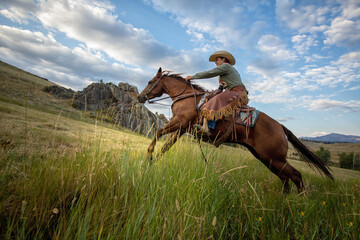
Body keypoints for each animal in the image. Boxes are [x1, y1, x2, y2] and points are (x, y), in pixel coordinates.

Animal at [137, 67, 332, 193]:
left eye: (150, 81)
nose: (140, 97)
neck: (188, 97)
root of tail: (280, 126)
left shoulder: (178, 123)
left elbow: (157, 134)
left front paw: (148, 158)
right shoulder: (181, 129)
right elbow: (165, 146)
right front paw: (153, 162)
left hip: (274, 158)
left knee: (296, 175)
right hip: (265, 158)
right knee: (285, 178)